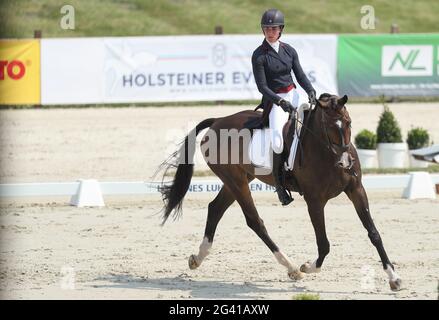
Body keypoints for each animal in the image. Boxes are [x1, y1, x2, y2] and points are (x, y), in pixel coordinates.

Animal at [157, 94, 402, 292]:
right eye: (328, 126)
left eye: (349, 123)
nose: (345, 162)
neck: (325, 152)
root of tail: (218, 121)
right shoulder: (314, 200)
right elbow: (324, 243)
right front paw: (308, 267)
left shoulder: (356, 190)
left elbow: (374, 233)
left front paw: (394, 278)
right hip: (237, 182)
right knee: (254, 221)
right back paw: (292, 267)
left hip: (238, 179)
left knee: (215, 208)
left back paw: (197, 258)